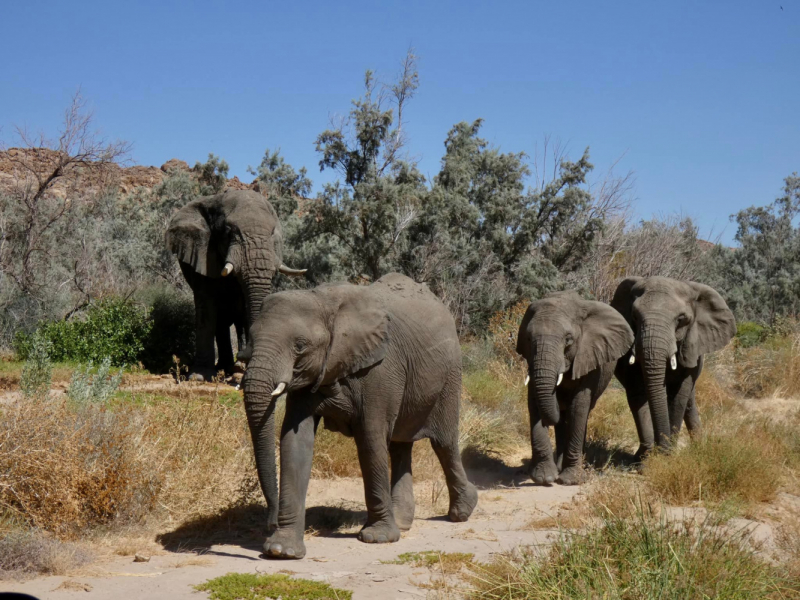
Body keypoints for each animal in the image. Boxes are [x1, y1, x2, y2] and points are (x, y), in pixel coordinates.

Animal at [166, 190, 306, 382]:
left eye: (272, 233)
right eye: (228, 232)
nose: (246, 357)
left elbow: (245, 308)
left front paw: (241, 369)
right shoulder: (203, 255)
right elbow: (206, 308)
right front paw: (199, 377)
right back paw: (225, 367)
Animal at [241, 274, 478, 560]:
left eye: (300, 346)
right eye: (250, 341)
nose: (270, 522)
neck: (324, 301)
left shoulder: (380, 370)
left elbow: (370, 438)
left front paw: (378, 538)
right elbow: (295, 442)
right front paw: (281, 550)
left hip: (450, 373)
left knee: (443, 443)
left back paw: (463, 511)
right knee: (400, 446)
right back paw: (402, 521)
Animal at [516, 292, 636, 486]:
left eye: (568, 340)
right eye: (527, 338)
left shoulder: (589, 357)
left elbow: (578, 407)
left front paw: (571, 480)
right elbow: (533, 403)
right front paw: (544, 478)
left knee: (581, 413)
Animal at [612, 276, 736, 454]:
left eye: (681, 319)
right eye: (634, 316)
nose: (661, 448)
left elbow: (678, 396)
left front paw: (667, 454)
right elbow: (637, 391)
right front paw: (646, 457)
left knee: (688, 400)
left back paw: (699, 446)